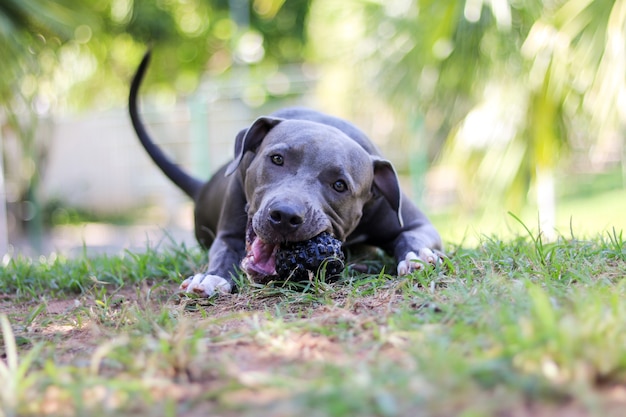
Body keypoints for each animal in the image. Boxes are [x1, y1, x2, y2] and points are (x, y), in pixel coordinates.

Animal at [127, 51, 442, 296]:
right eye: (276, 159)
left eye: (340, 185)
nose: (285, 215)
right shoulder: (228, 234)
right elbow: (224, 254)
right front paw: (210, 276)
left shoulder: (417, 224)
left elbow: (410, 237)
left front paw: (416, 256)